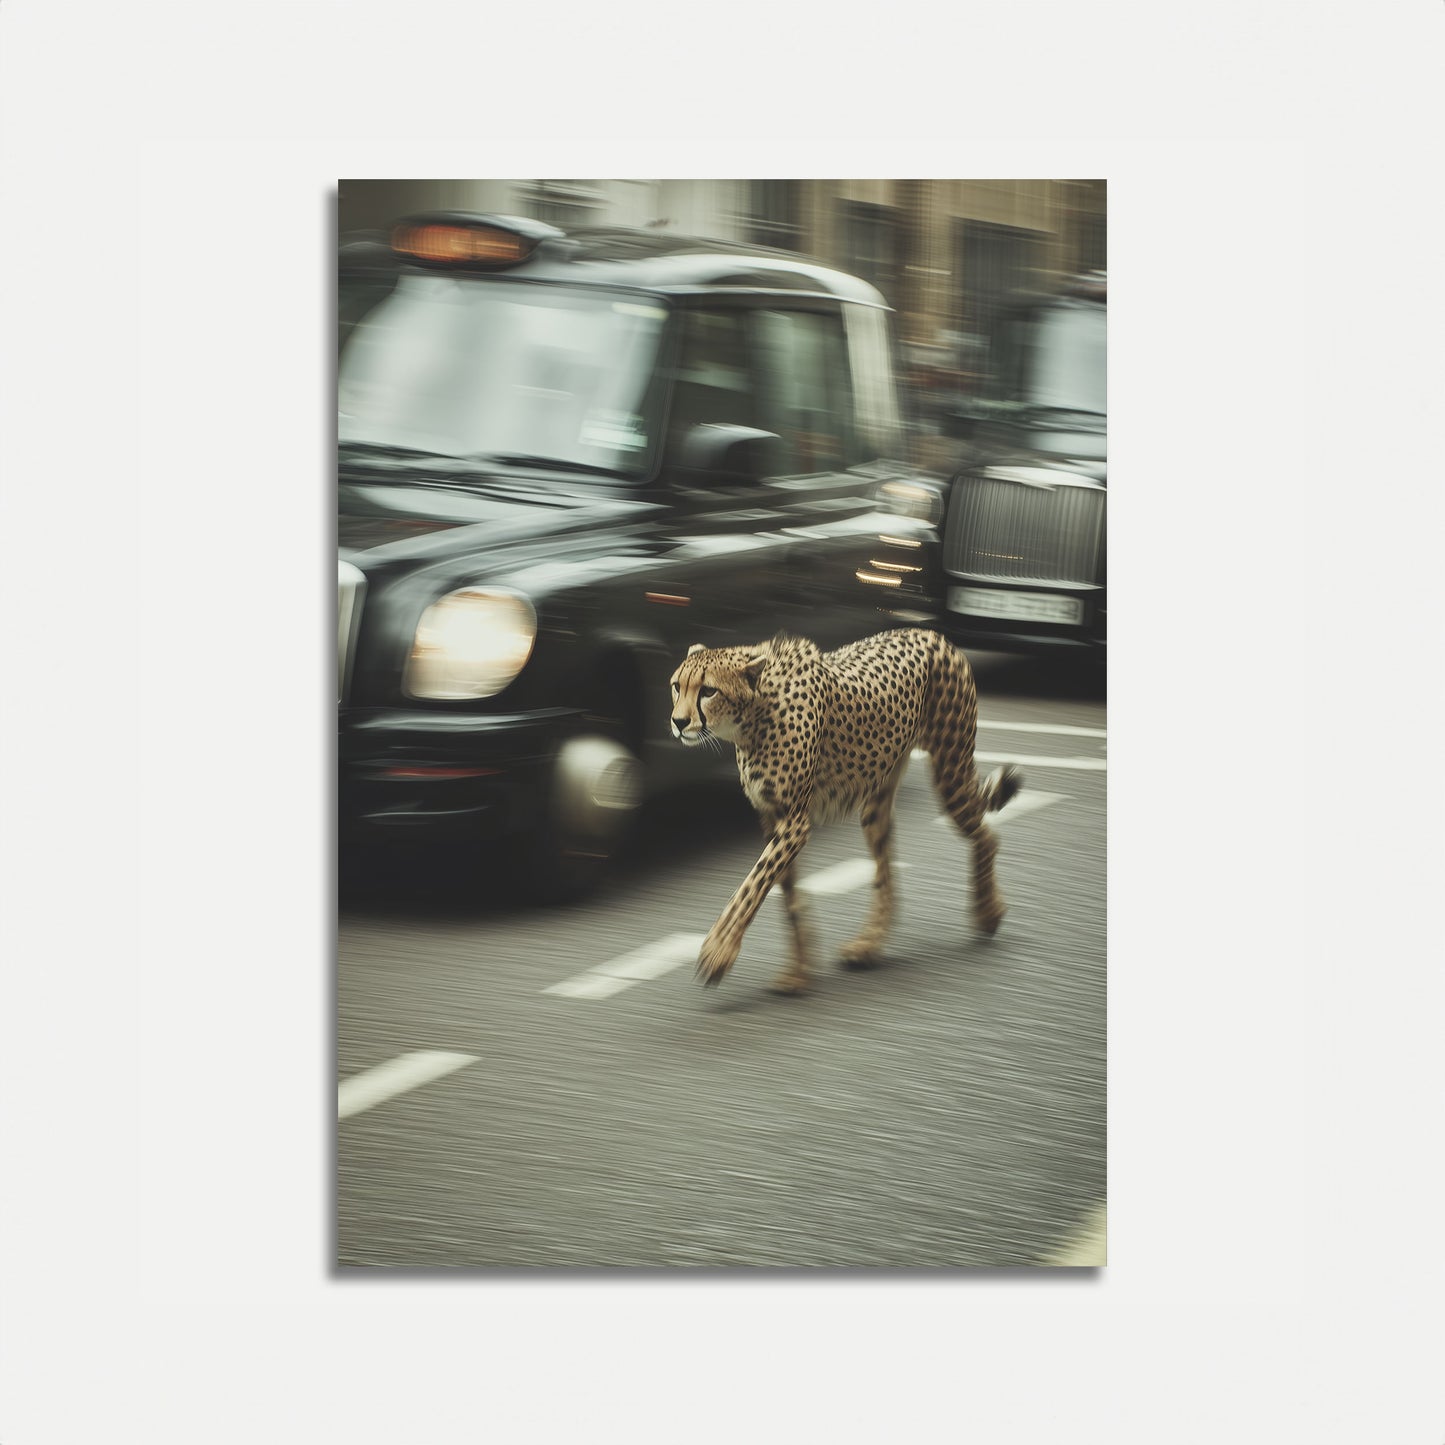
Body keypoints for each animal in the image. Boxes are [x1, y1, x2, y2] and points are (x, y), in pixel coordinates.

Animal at [669, 627, 1022, 994]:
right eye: (677, 686)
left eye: (708, 690)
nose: (678, 722)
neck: (754, 714)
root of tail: (929, 632)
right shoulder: (774, 819)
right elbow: (787, 896)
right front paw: (798, 970)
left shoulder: (794, 824)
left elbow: (751, 886)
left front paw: (718, 950)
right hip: (877, 800)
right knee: (886, 873)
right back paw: (868, 944)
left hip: (950, 771)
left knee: (986, 835)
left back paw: (988, 912)